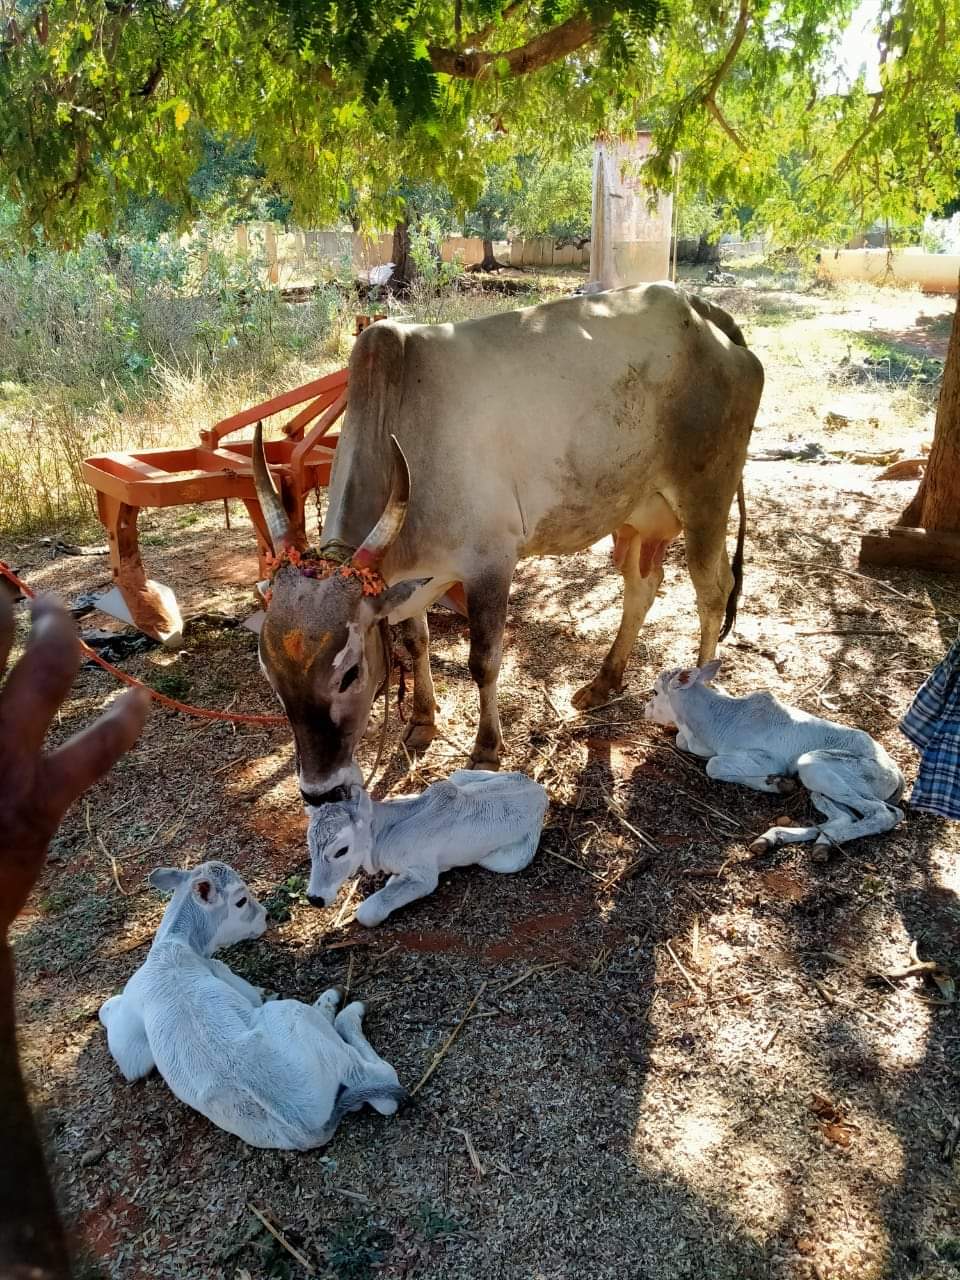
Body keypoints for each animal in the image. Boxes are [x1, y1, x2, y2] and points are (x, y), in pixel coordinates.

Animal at [100, 860, 407, 1152]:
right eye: (240, 901)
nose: (266, 916)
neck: (174, 946)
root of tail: (305, 1129)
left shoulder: (133, 1054)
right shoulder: (219, 969)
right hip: (292, 1015)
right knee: (380, 1080)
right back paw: (341, 1007)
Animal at [253, 282, 768, 798]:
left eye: (351, 674)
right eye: (270, 678)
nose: (320, 789)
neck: (402, 423)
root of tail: (702, 311)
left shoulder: (490, 565)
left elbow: (483, 662)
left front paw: (486, 749)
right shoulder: (411, 575)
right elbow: (416, 641)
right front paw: (421, 719)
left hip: (706, 499)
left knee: (713, 591)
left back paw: (693, 707)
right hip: (636, 511)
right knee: (642, 586)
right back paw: (604, 681)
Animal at [308, 762, 547, 926]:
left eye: (341, 850)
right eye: (310, 847)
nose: (314, 899)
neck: (385, 831)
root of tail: (540, 791)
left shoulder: (425, 877)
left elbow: (368, 912)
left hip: (507, 862)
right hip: (461, 775)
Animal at [647, 660, 911, 849]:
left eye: (656, 691)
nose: (645, 710)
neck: (714, 723)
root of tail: (897, 773)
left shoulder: (767, 759)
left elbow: (713, 765)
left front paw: (776, 783)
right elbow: (683, 743)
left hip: (815, 764)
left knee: (884, 814)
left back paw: (827, 837)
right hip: (824, 783)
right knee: (844, 815)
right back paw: (788, 838)